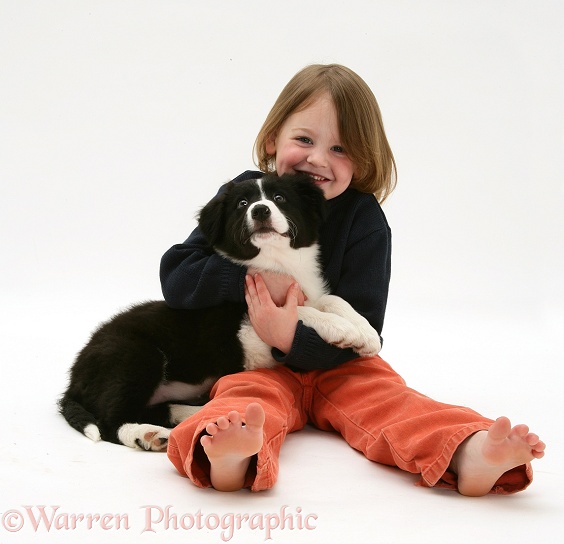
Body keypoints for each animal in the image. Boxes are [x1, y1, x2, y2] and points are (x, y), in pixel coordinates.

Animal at [59, 173, 382, 450]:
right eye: (242, 204)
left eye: (279, 198)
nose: (260, 211)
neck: (276, 264)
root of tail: (73, 378)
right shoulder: (248, 328)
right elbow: (297, 313)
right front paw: (343, 330)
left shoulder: (307, 293)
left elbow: (333, 300)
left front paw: (366, 334)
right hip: (135, 355)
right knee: (110, 420)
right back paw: (147, 435)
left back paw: (195, 415)